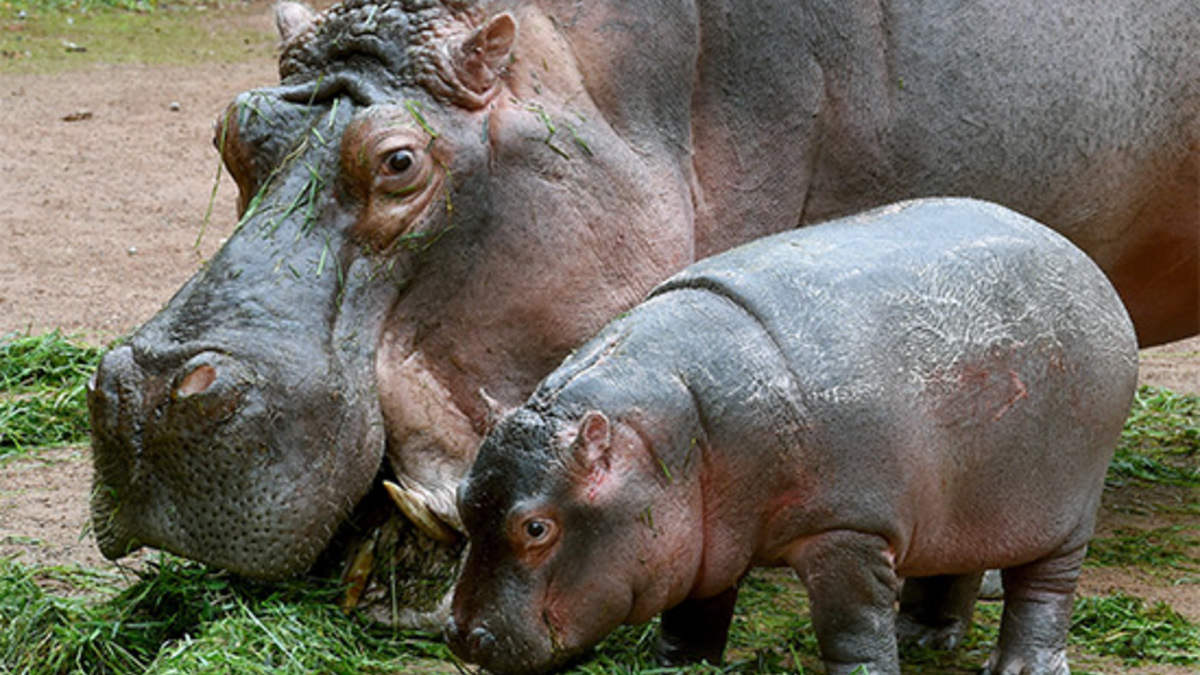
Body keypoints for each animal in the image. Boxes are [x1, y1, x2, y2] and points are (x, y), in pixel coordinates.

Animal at [448, 196, 1132, 672]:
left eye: (536, 527)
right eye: (462, 498)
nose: (459, 634)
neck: (669, 437)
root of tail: (1086, 265)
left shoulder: (848, 530)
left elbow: (850, 626)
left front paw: (867, 669)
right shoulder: (705, 535)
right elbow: (695, 609)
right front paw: (677, 664)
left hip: (1067, 508)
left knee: (1044, 589)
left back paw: (1019, 665)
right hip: (963, 498)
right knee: (954, 563)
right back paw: (920, 638)